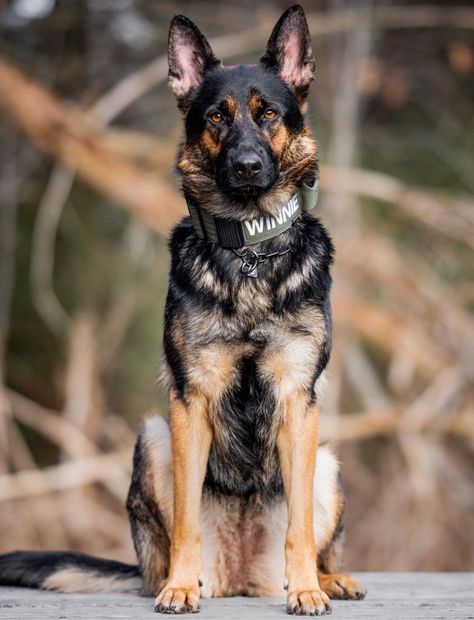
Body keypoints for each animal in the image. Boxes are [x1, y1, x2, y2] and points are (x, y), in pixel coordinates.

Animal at [0, 6, 366, 616]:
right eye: (217, 117)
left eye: (268, 115)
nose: (246, 167)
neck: (247, 251)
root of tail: (242, 576)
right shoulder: (189, 402)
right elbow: (187, 519)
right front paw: (180, 586)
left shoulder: (297, 400)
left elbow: (298, 529)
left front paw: (307, 590)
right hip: (152, 439)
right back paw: (181, 579)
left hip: (328, 464)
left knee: (317, 541)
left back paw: (327, 578)